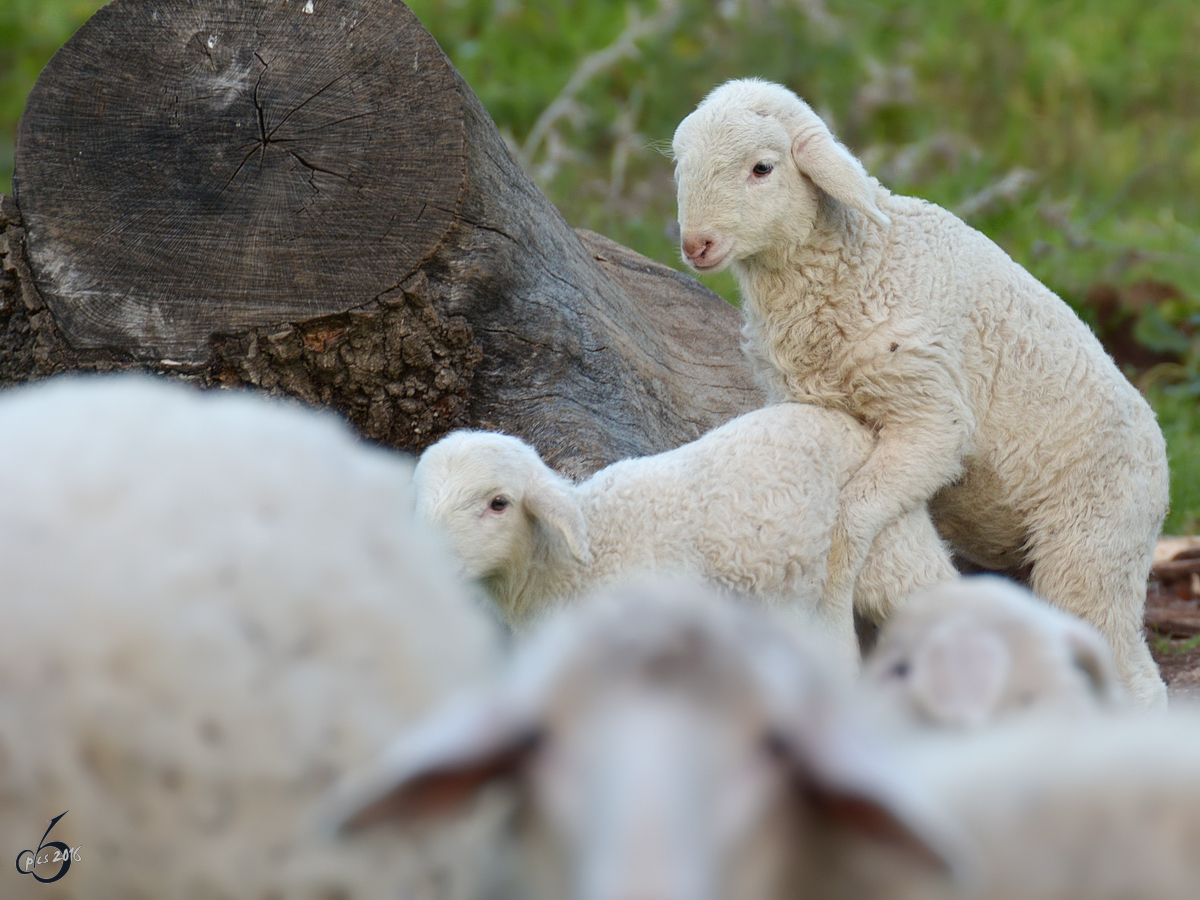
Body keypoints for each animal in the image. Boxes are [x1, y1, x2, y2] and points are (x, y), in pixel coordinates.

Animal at [676, 77, 1171, 710]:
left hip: (1093, 546)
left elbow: (850, 523)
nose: (697, 244)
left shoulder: (931, 419)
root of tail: (1164, 465)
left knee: (1131, 670)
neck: (863, 261)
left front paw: (834, 638)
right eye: (680, 164)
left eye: (762, 167)